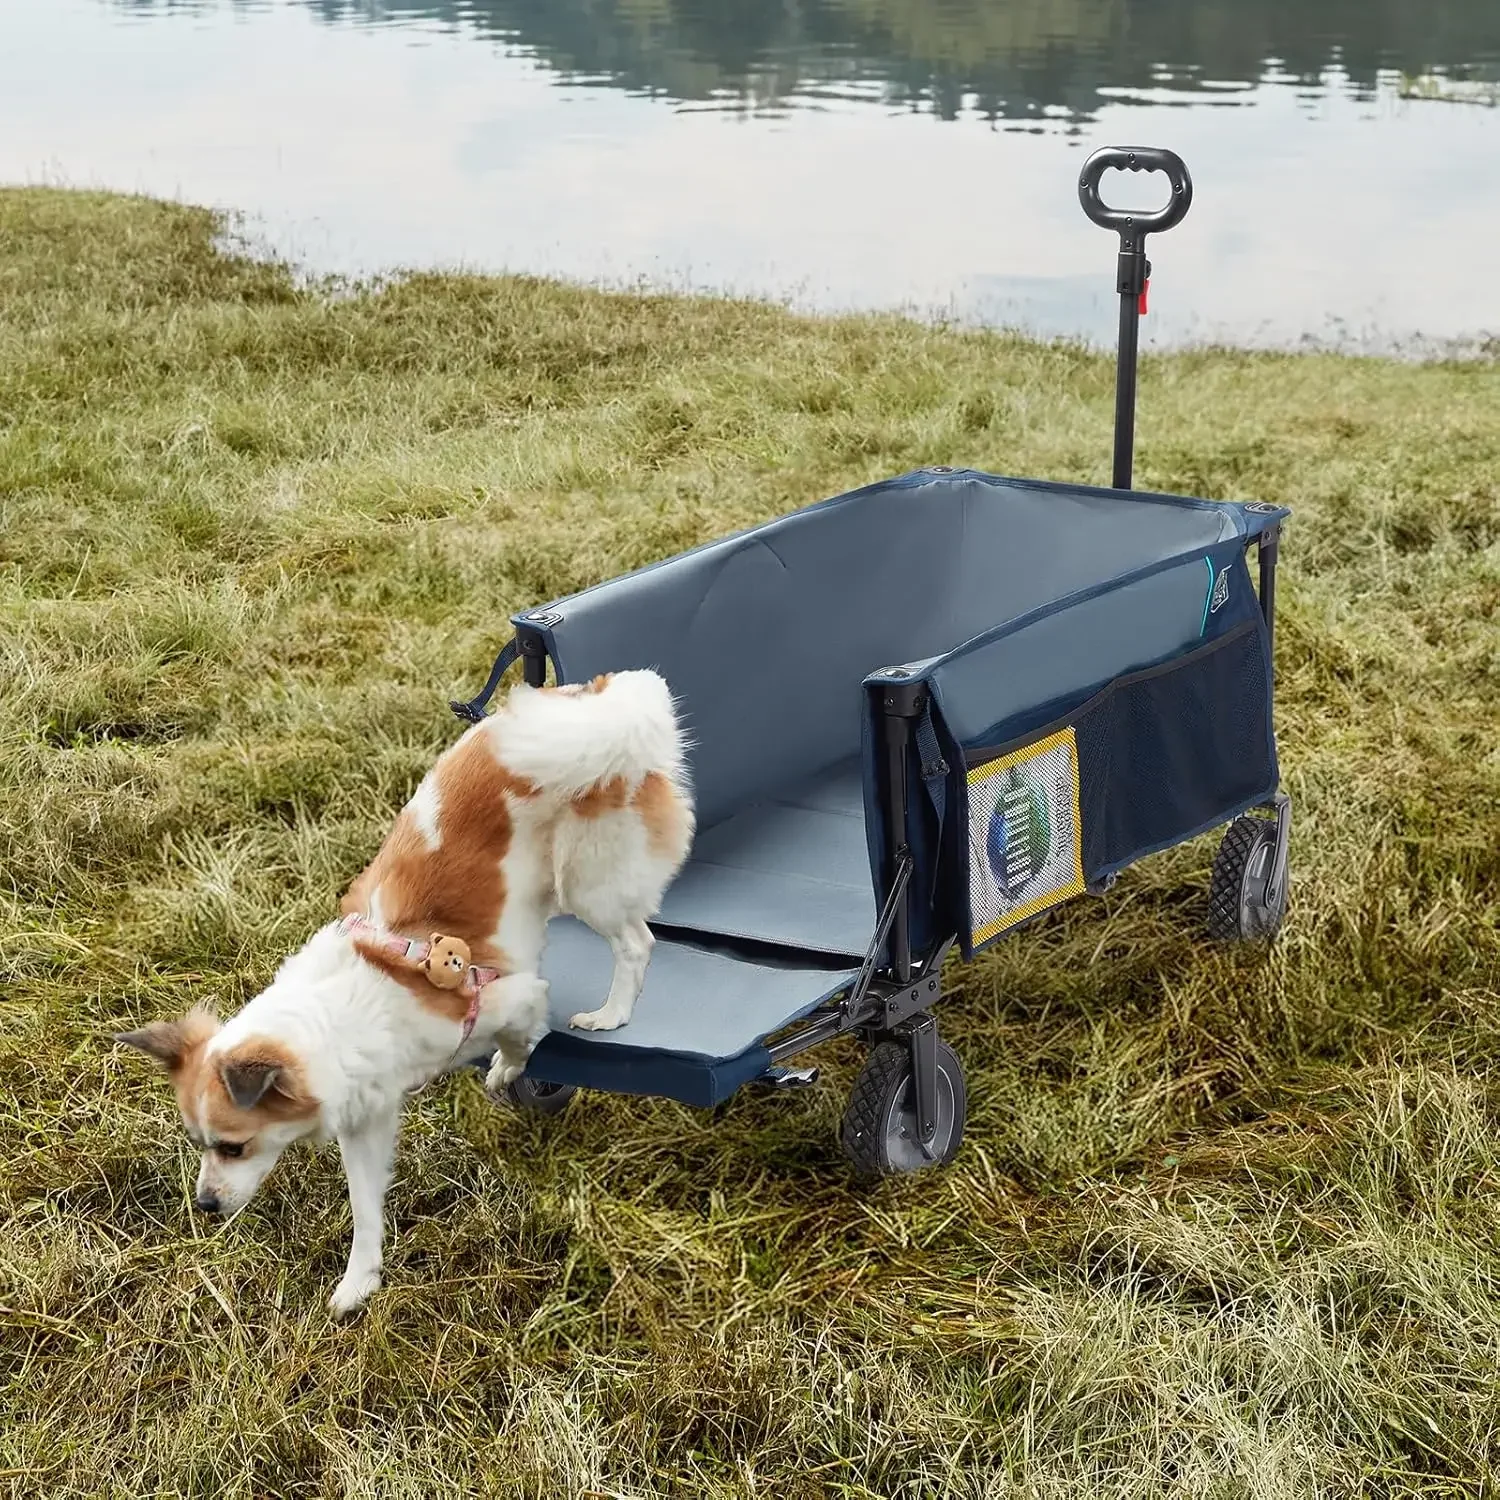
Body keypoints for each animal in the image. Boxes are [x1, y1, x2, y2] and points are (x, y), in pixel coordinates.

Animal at [115, 669, 690, 1314]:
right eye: (198, 1143)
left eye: (233, 1147)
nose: (206, 1206)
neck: (352, 1008)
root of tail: (608, 698)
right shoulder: (365, 1121)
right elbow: (365, 1208)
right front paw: (360, 1280)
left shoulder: (509, 996)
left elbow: (522, 1037)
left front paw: (508, 1070)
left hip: (590, 881)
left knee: (636, 942)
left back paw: (612, 1012)